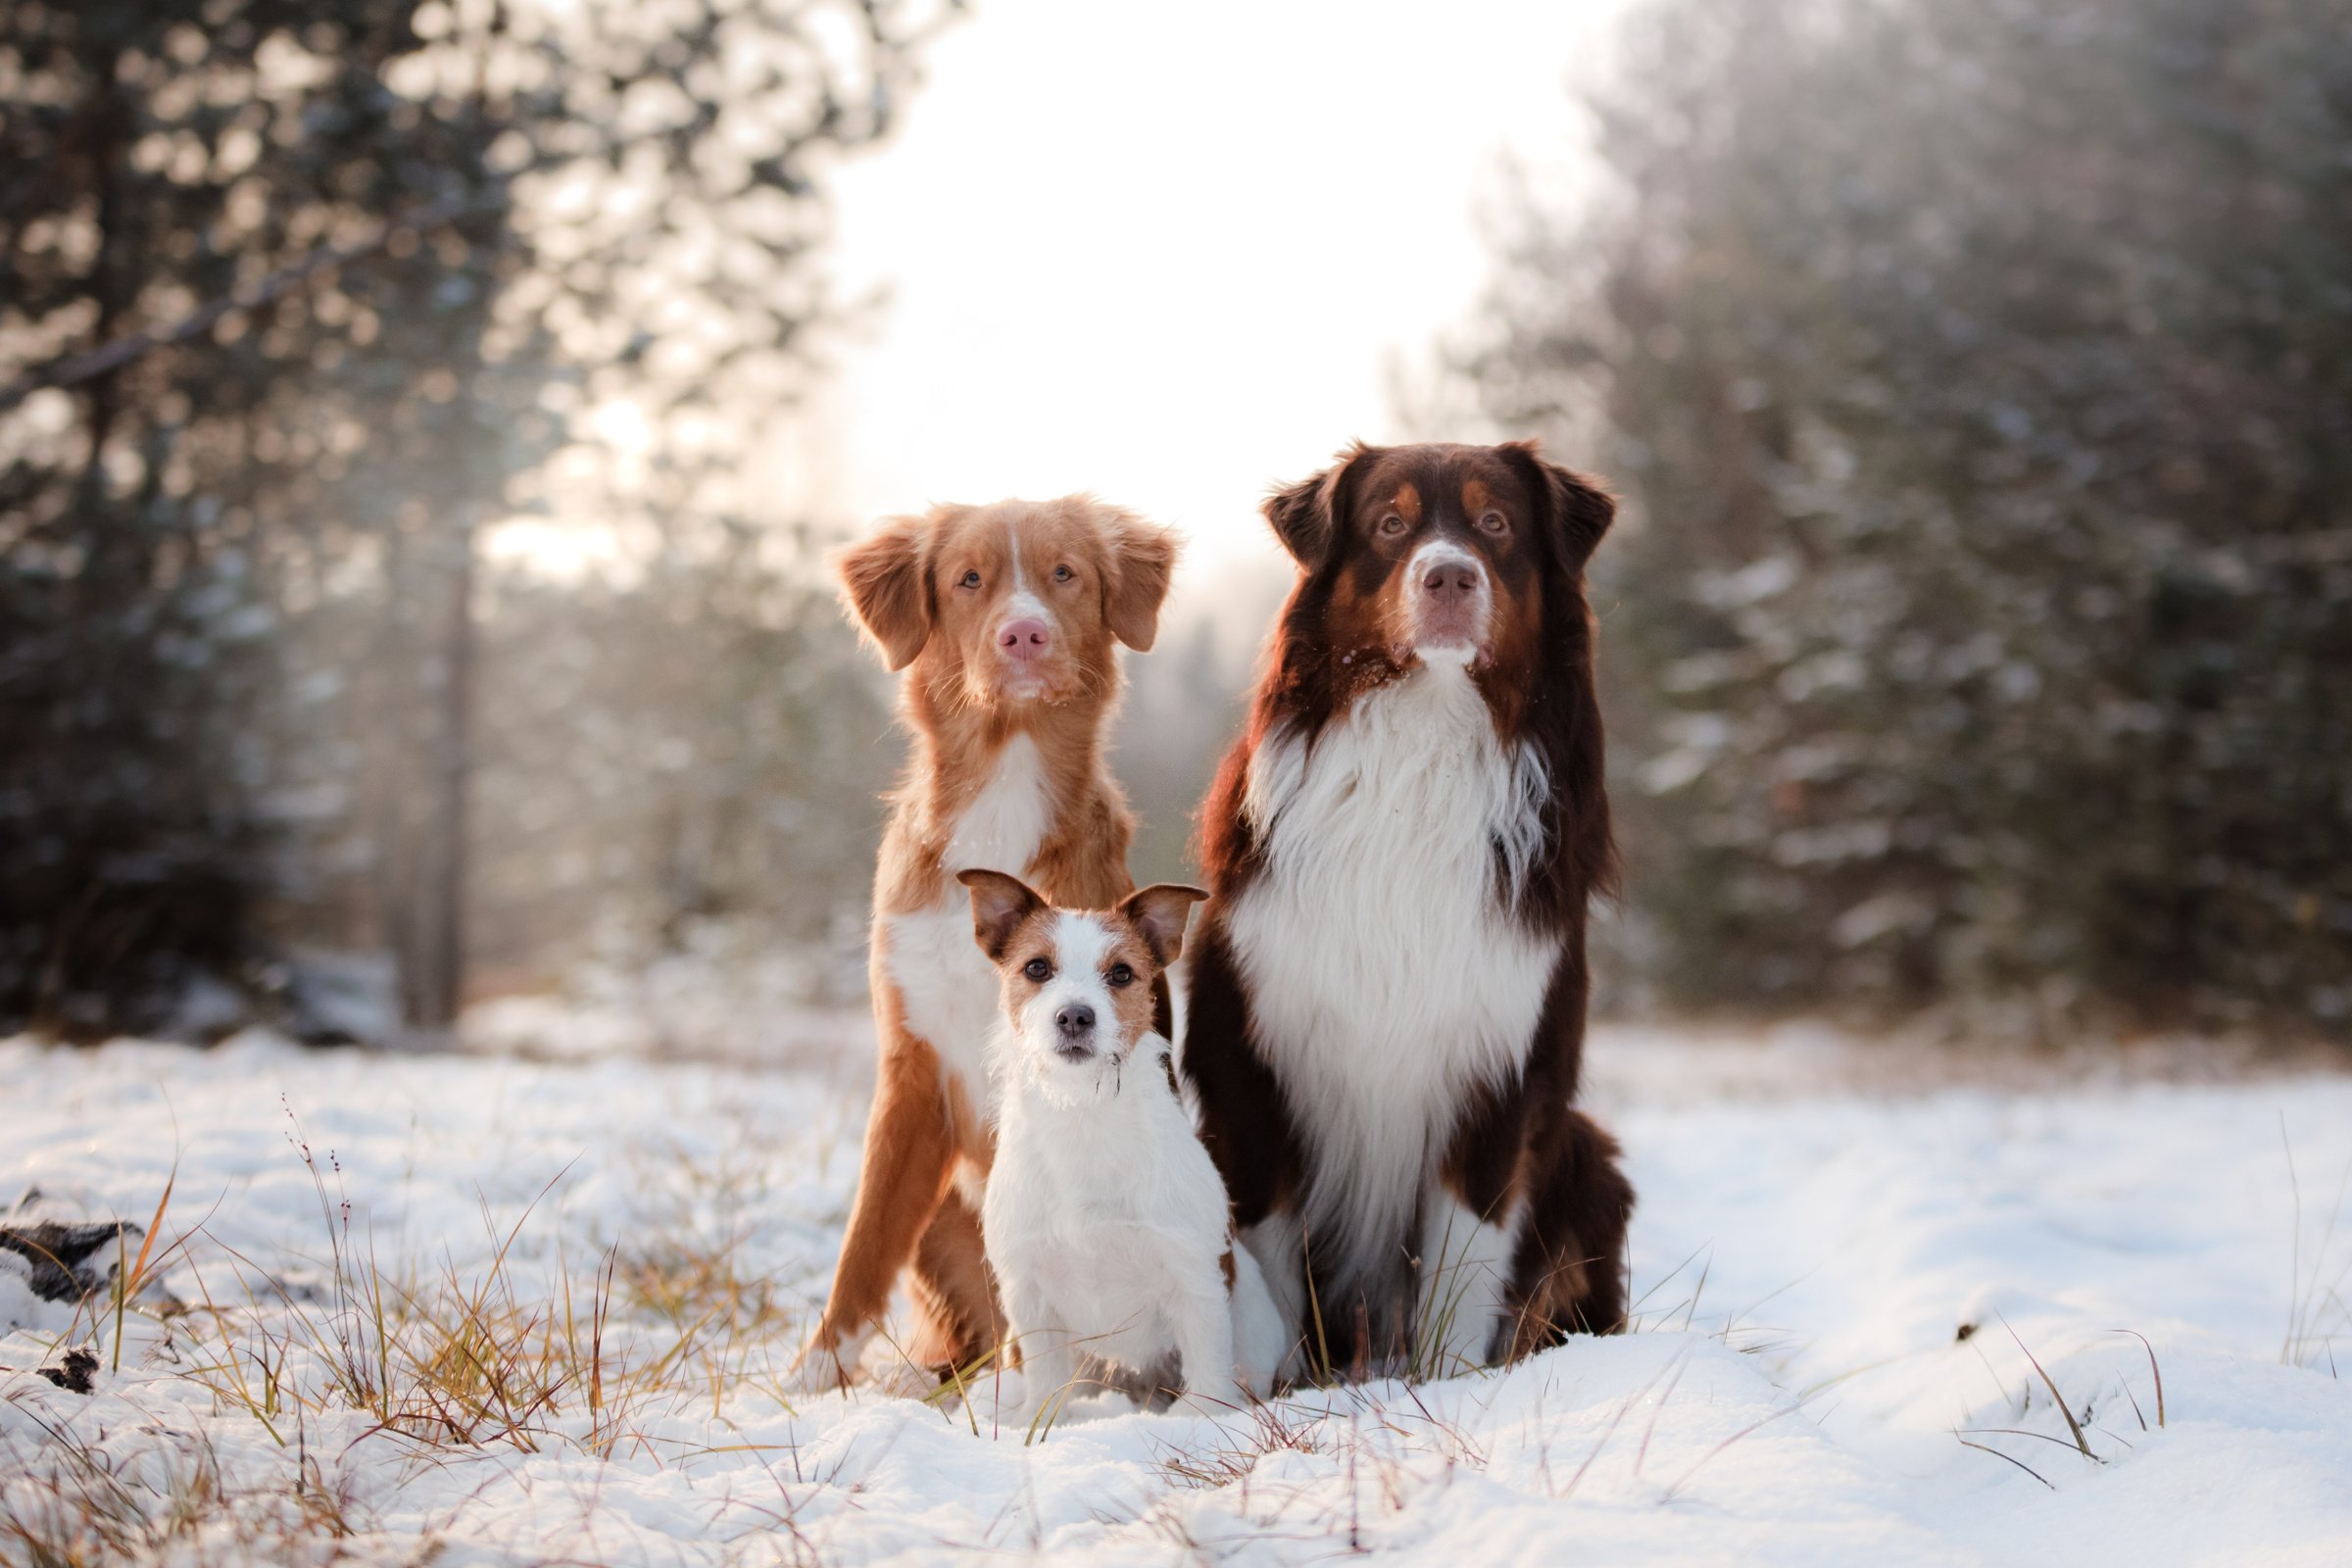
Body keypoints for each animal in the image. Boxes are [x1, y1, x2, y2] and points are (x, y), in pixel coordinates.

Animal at [795, 496, 1176, 1392]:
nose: (1024, 635)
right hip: (940, 1213)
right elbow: (864, 1241)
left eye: (1064, 572)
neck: (1004, 787)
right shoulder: (913, 1065)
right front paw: (812, 1376)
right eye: (969, 580)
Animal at [955, 864, 1289, 1429]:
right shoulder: (1029, 1292)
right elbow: (1045, 1376)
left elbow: (1207, 1362)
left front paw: (1201, 1421)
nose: (1074, 1016)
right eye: (1037, 967)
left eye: (1122, 974)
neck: (1082, 1117)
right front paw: (1038, 1424)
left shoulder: (1193, 1276)